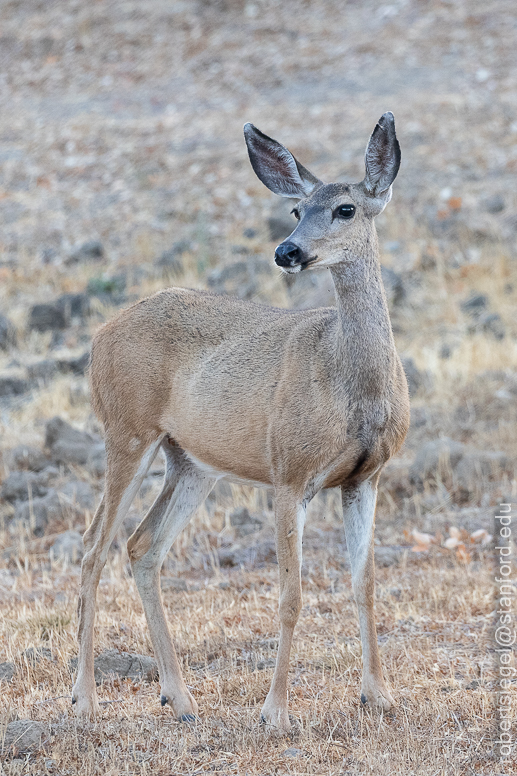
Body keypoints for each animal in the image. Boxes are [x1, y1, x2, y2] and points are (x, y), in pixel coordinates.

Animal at [73, 112, 412, 732]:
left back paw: (180, 699)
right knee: (93, 545)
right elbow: (291, 596)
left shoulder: (366, 477)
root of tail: (99, 336)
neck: (351, 385)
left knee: (141, 546)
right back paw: (83, 699)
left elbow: (366, 585)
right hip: (126, 430)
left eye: (345, 208)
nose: (287, 251)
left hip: (190, 462)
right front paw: (275, 712)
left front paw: (379, 696)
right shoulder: (289, 472)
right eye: (296, 210)